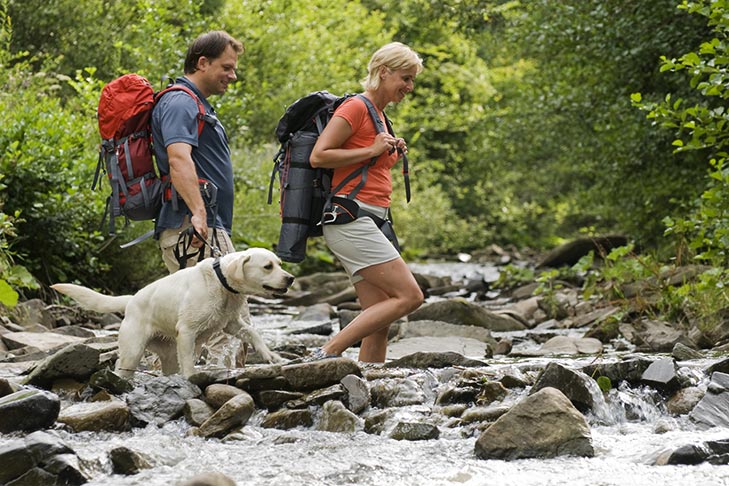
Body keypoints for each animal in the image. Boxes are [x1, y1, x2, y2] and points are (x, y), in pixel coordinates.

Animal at [51, 251, 292, 380]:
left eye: (280, 264)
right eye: (268, 266)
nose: (290, 278)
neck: (221, 281)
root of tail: (131, 300)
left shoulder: (231, 323)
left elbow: (252, 333)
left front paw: (271, 356)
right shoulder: (186, 331)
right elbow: (188, 362)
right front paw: (192, 378)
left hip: (167, 355)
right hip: (133, 350)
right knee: (124, 366)